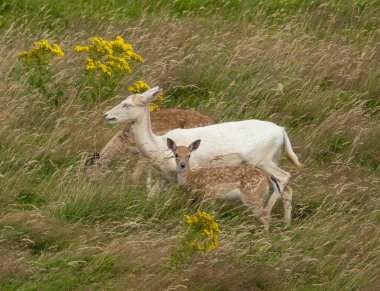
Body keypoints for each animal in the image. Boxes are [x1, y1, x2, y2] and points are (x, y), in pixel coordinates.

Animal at [103, 85, 300, 197]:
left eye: (127, 104)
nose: (106, 115)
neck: (158, 147)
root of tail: (281, 131)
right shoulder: (164, 177)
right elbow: (151, 195)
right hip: (271, 159)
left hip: (262, 159)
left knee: (284, 176)